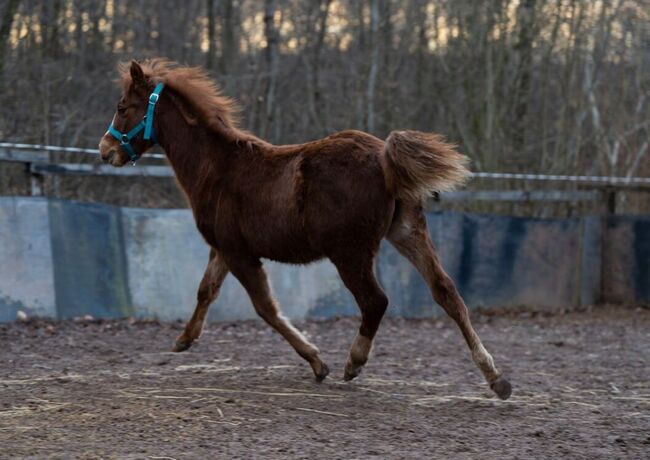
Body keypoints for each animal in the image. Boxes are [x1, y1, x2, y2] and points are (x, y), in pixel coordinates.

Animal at [97, 60, 512, 398]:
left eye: (122, 107)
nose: (105, 150)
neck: (217, 168)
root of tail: (383, 156)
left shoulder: (239, 253)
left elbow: (265, 307)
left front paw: (317, 362)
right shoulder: (224, 249)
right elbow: (206, 290)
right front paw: (184, 339)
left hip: (350, 253)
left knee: (376, 301)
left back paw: (353, 362)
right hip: (408, 233)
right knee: (446, 292)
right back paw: (496, 378)